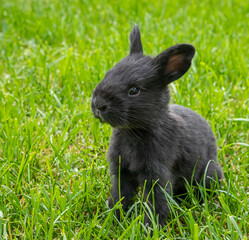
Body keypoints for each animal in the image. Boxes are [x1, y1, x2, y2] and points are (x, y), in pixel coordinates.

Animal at [91, 25, 222, 226]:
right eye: (108, 74)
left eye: (134, 90)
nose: (99, 105)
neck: (134, 132)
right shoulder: (121, 173)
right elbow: (121, 196)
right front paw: (114, 219)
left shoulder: (157, 175)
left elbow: (156, 204)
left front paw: (149, 228)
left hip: (208, 172)